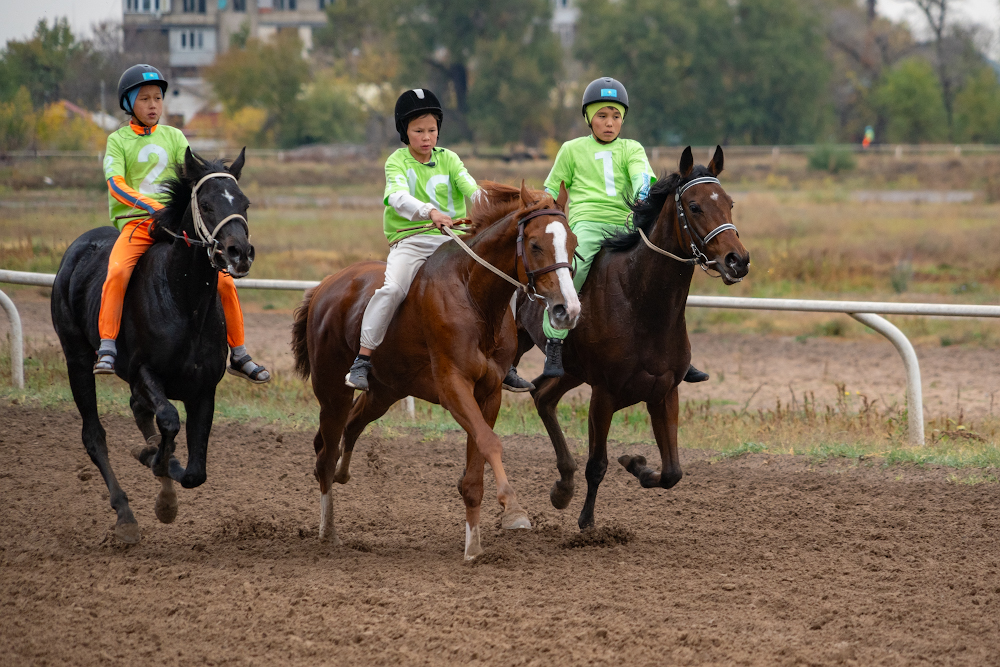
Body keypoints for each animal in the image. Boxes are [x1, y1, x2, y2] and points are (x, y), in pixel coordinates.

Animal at [51, 146, 256, 544]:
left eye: (244, 202)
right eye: (205, 204)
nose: (239, 252)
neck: (184, 301)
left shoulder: (203, 390)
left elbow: (194, 471)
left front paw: (166, 490)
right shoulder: (142, 372)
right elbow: (169, 421)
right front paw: (151, 462)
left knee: (138, 412)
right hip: (77, 359)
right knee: (94, 435)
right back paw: (125, 515)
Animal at [292, 181, 580, 560]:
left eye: (573, 243)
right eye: (535, 245)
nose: (567, 310)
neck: (474, 296)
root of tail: (323, 287)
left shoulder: (489, 392)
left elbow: (476, 466)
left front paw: (474, 546)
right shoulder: (452, 386)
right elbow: (490, 443)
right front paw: (513, 508)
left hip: (385, 391)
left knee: (350, 428)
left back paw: (343, 474)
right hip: (332, 392)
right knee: (325, 455)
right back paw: (328, 532)